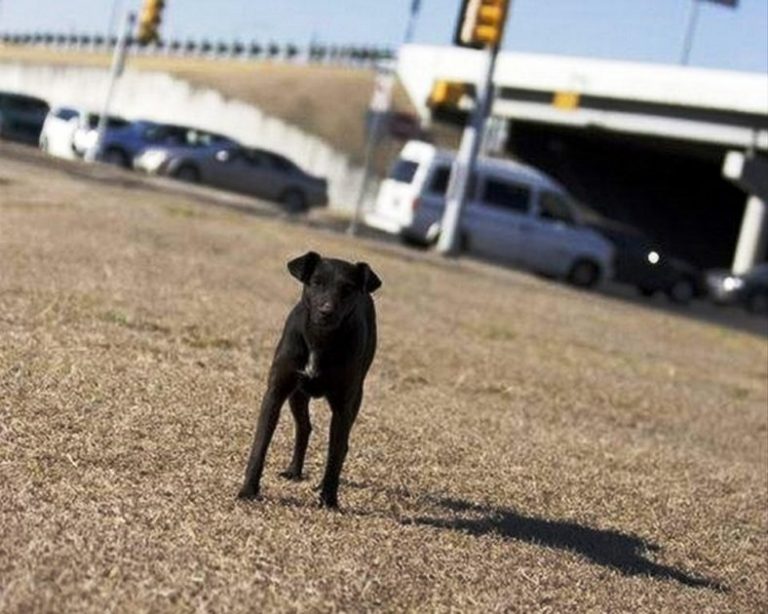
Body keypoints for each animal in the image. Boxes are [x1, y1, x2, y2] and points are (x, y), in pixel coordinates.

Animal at [238, 250, 382, 510]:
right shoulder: (276, 392)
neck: (320, 339)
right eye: (316, 282)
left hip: (355, 399)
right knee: (304, 427)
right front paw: (248, 490)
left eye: (347, 289)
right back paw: (294, 471)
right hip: (297, 395)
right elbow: (260, 445)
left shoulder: (343, 406)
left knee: (341, 444)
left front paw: (329, 500)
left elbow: (335, 454)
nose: (327, 311)